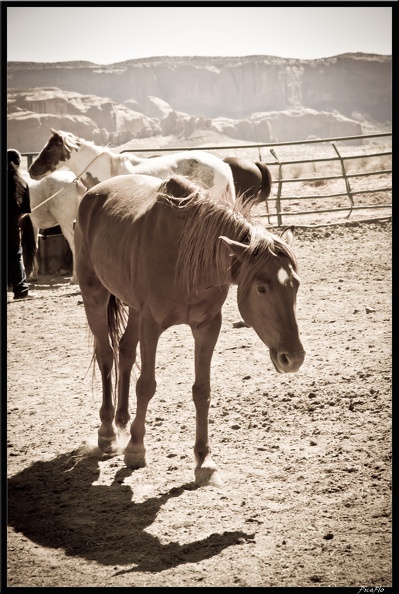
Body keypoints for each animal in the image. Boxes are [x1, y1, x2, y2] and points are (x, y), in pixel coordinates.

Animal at [75, 172, 306, 486]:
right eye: (261, 288)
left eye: (295, 285)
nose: (293, 358)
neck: (185, 257)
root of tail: (93, 193)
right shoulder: (152, 324)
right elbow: (146, 385)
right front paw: (136, 449)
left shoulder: (207, 326)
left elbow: (201, 391)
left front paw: (204, 460)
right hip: (95, 297)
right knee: (106, 355)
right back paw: (109, 433)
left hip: (133, 307)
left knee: (125, 351)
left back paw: (122, 421)